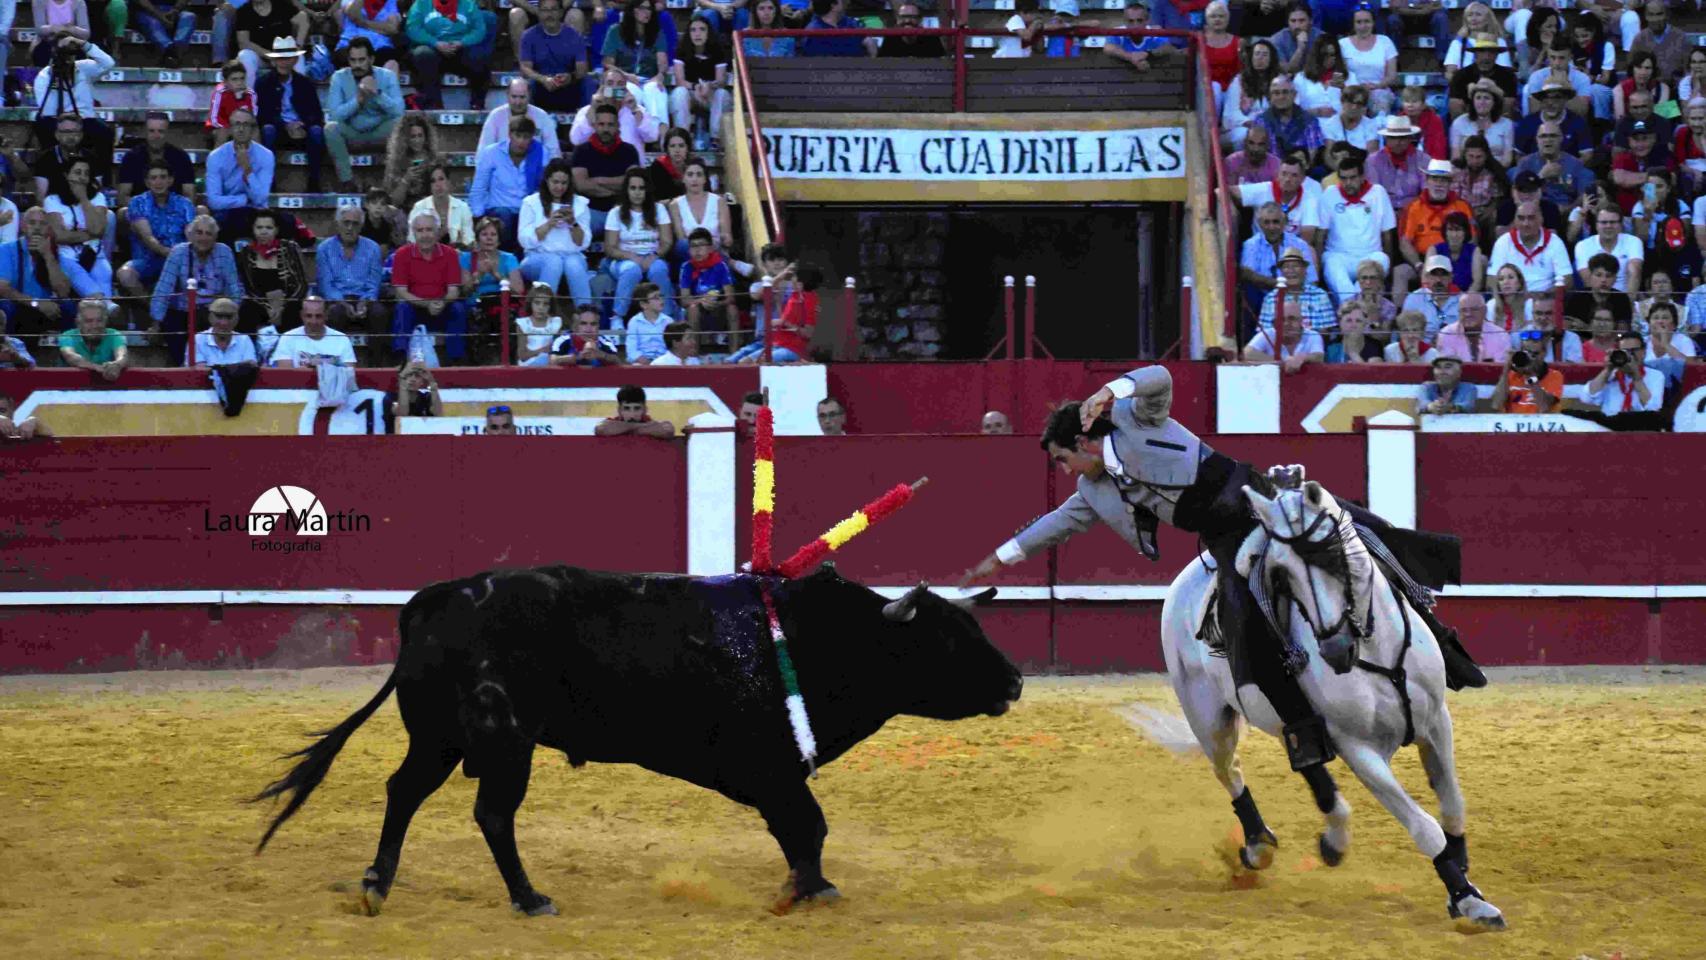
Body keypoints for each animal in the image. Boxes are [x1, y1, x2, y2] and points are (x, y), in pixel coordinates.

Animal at [249, 562, 1016, 913]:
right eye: (949, 639)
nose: (1012, 681)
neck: (817, 639)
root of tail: (436, 599)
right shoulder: (772, 772)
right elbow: (808, 826)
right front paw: (808, 889)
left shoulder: (775, 776)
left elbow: (806, 828)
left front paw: (809, 885)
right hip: (504, 742)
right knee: (492, 812)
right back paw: (530, 898)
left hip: (440, 739)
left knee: (403, 791)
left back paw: (377, 883)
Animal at [1160, 480, 1508, 934]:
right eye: (1282, 575)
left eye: (1331, 551)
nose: (1334, 649)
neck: (1374, 648)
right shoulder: (1359, 749)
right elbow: (1424, 826)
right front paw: (1468, 899)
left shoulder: (1436, 723)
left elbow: (1452, 806)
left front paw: (1463, 882)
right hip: (1207, 719)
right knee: (1230, 771)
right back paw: (1258, 846)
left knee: (1307, 764)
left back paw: (1332, 840)